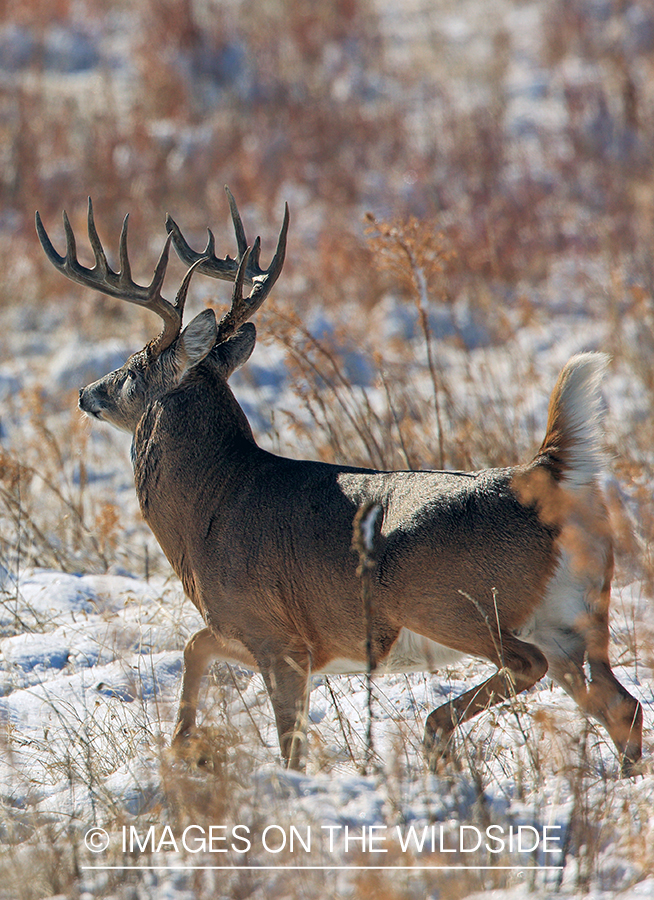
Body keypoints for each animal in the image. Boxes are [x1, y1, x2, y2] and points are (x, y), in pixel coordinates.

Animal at [33, 188, 644, 772]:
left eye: (136, 365)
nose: (86, 392)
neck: (209, 506)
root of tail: (543, 474)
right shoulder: (258, 632)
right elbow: (193, 646)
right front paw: (182, 748)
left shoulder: (275, 636)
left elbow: (288, 744)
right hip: (577, 615)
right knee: (622, 705)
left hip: (453, 602)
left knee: (531, 666)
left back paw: (435, 729)